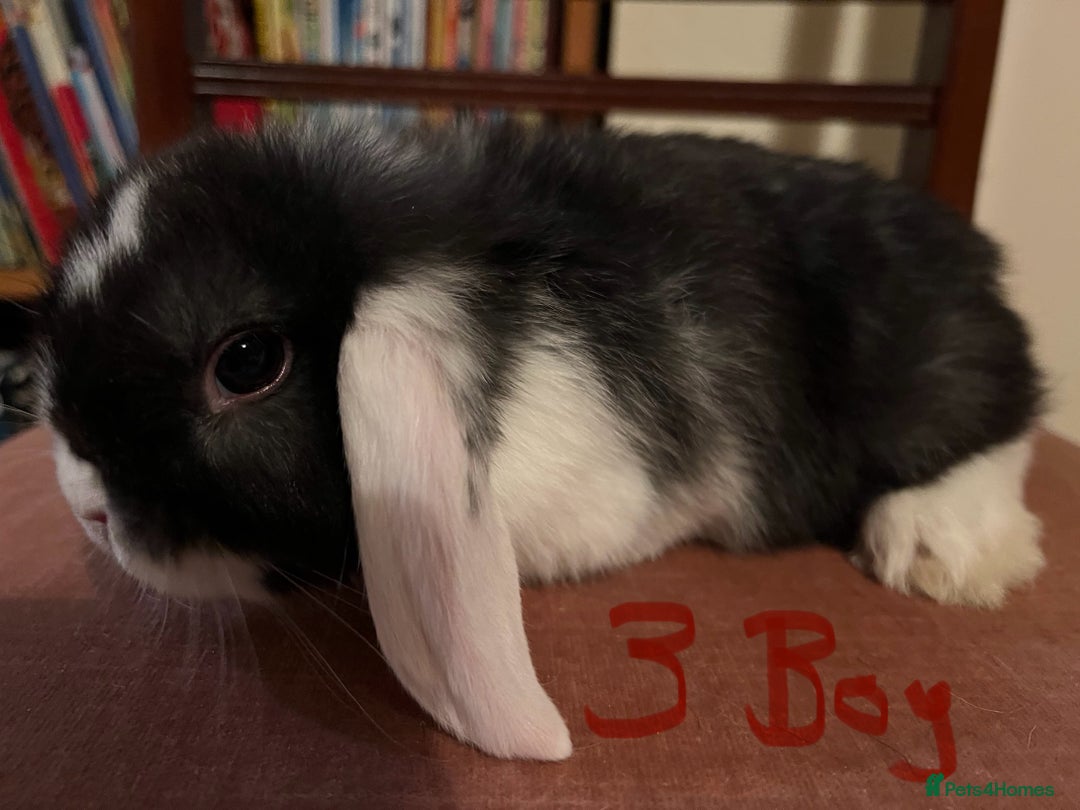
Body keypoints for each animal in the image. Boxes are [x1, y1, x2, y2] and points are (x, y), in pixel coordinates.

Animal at [35, 120, 1045, 762]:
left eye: (246, 362)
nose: (86, 512)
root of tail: (977, 260)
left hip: (931, 374)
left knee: (1006, 418)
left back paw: (942, 550)